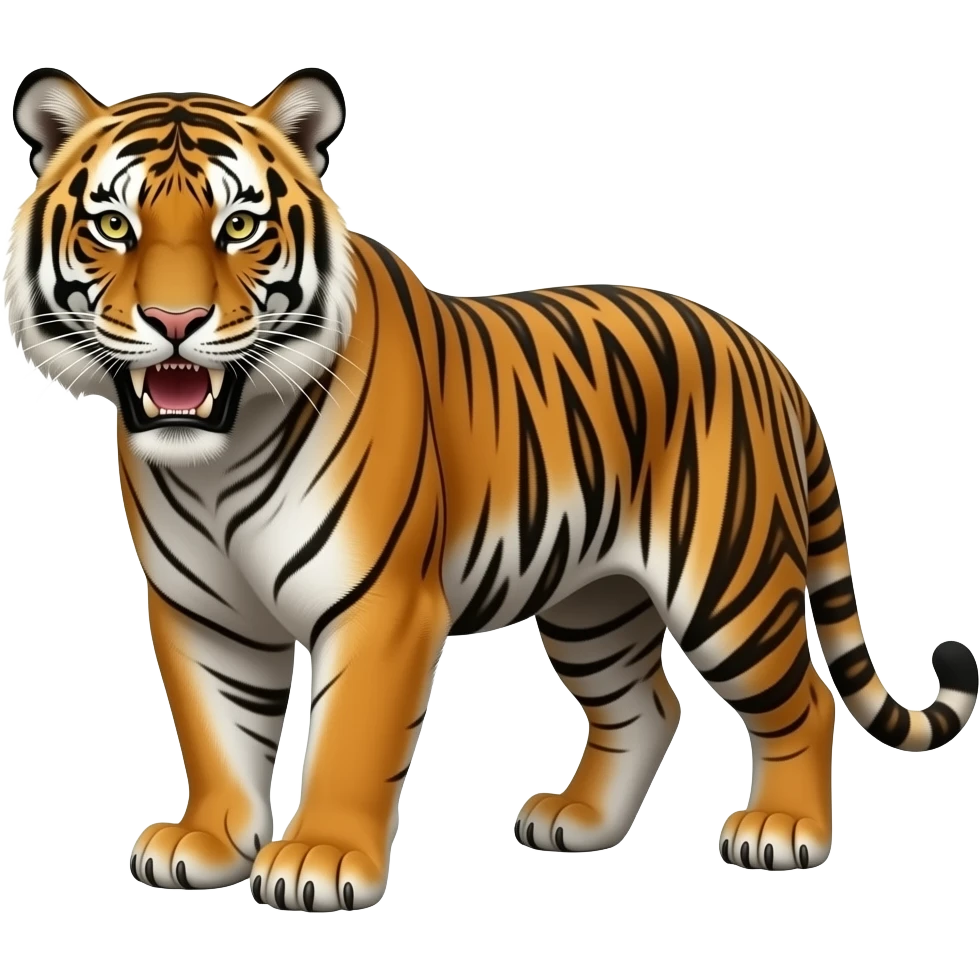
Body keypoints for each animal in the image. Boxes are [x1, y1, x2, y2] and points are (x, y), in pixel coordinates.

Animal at [3, 65, 977, 909]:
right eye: (115, 227)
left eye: (239, 227)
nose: (176, 321)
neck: (217, 456)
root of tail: (764, 354)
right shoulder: (199, 608)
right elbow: (216, 730)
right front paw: (205, 842)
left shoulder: (381, 603)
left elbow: (350, 737)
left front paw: (320, 860)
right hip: (594, 602)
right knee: (647, 705)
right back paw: (578, 822)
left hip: (727, 585)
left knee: (802, 700)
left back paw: (782, 832)